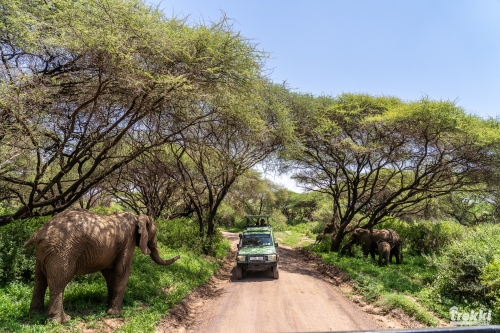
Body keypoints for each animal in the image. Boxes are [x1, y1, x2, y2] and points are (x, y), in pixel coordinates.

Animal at [23, 209, 180, 322]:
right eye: (154, 234)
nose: (179, 256)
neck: (137, 216)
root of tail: (38, 233)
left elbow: (110, 273)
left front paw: (107, 305)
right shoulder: (128, 241)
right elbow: (122, 271)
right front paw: (114, 313)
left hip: (42, 252)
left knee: (40, 281)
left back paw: (36, 314)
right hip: (61, 251)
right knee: (58, 283)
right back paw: (62, 321)